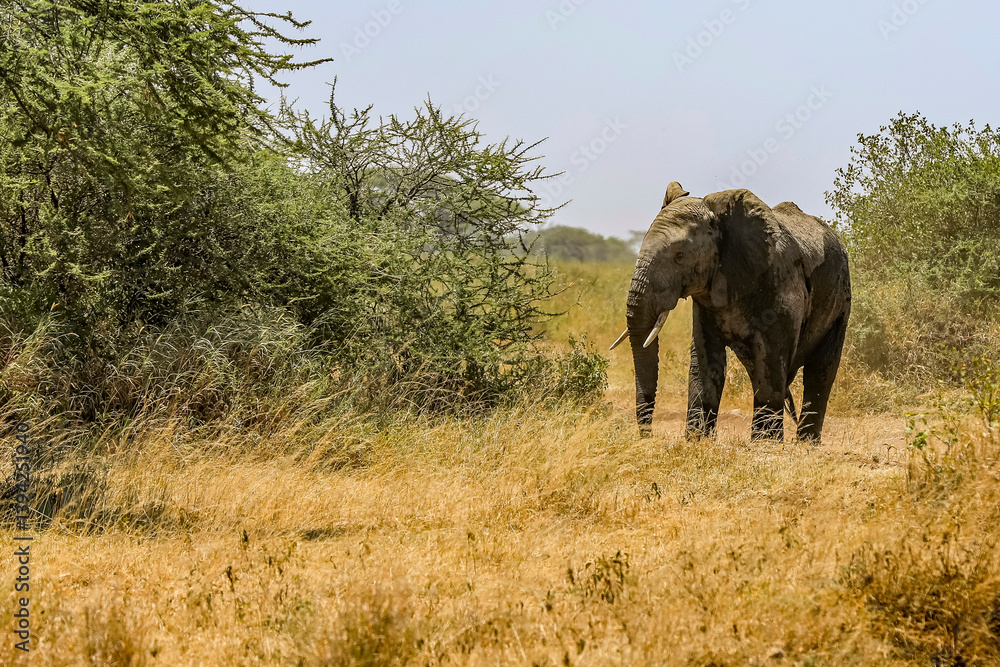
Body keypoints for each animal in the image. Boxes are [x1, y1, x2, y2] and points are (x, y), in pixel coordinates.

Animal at [610, 182, 851, 442]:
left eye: (680, 256)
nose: (648, 436)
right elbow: (707, 359)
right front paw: (697, 440)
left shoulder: (782, 287)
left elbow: (770, 359)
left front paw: (765, 444)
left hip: (841, 302)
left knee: (820, 371)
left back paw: (807, 443)